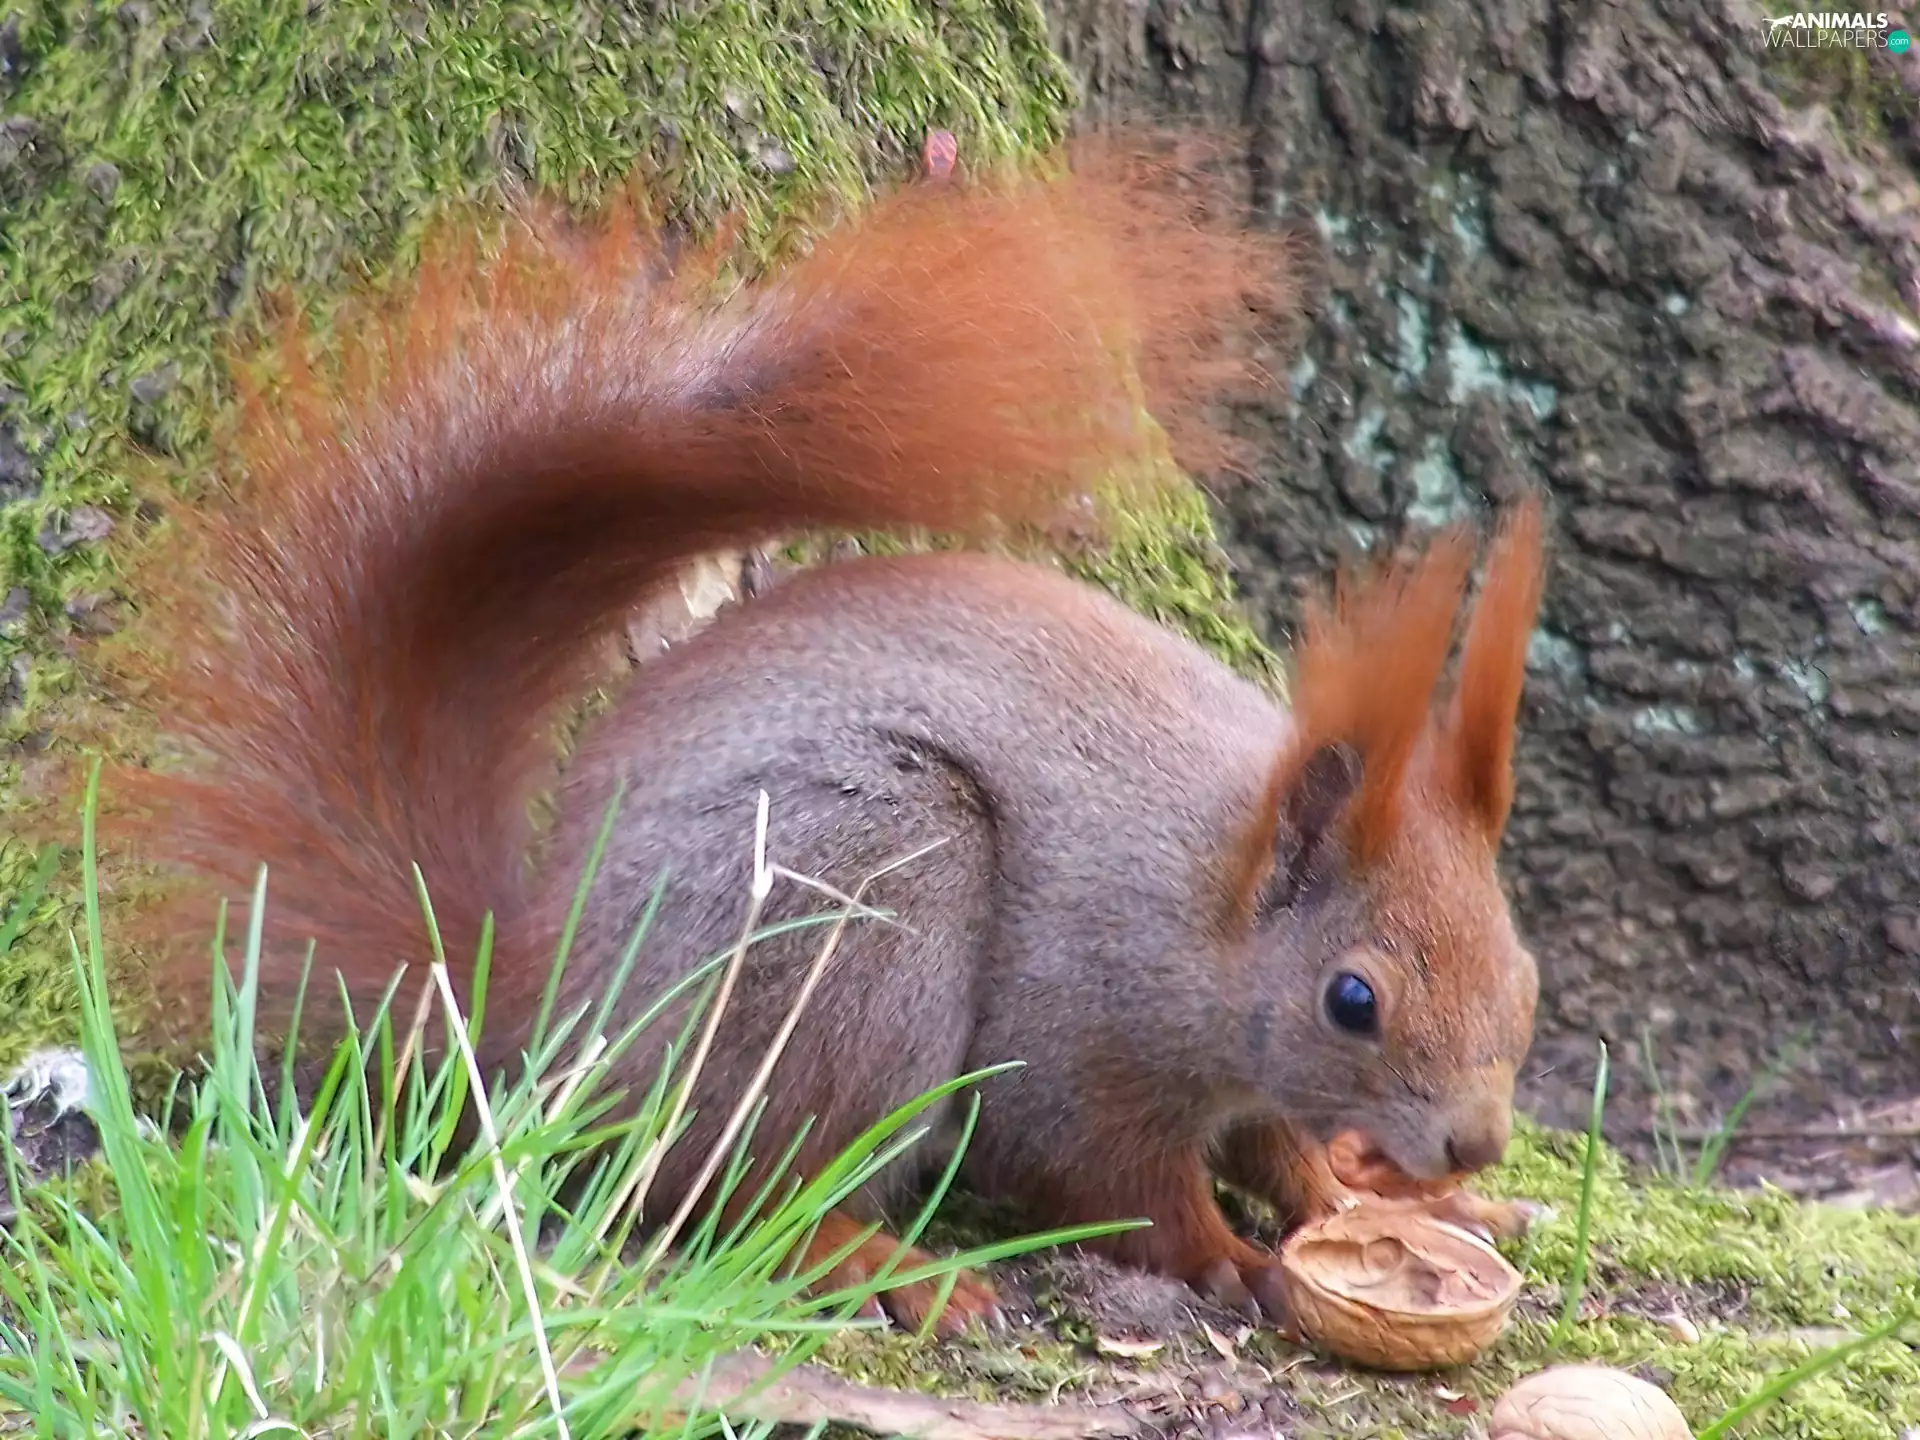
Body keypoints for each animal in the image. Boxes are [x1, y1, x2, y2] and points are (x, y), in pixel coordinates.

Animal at [98, 136, 1546, 1337]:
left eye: (1526, 973)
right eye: (1352, 1000)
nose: (1476, 1142)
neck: (1216, 894)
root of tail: (544, 998)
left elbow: (1272, 1146)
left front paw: (1356, 1200)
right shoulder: (1081, 1024)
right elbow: (1104, 1175)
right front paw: (1233, 1262)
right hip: (863, 901)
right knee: (722, 1183)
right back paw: (885, 1267)